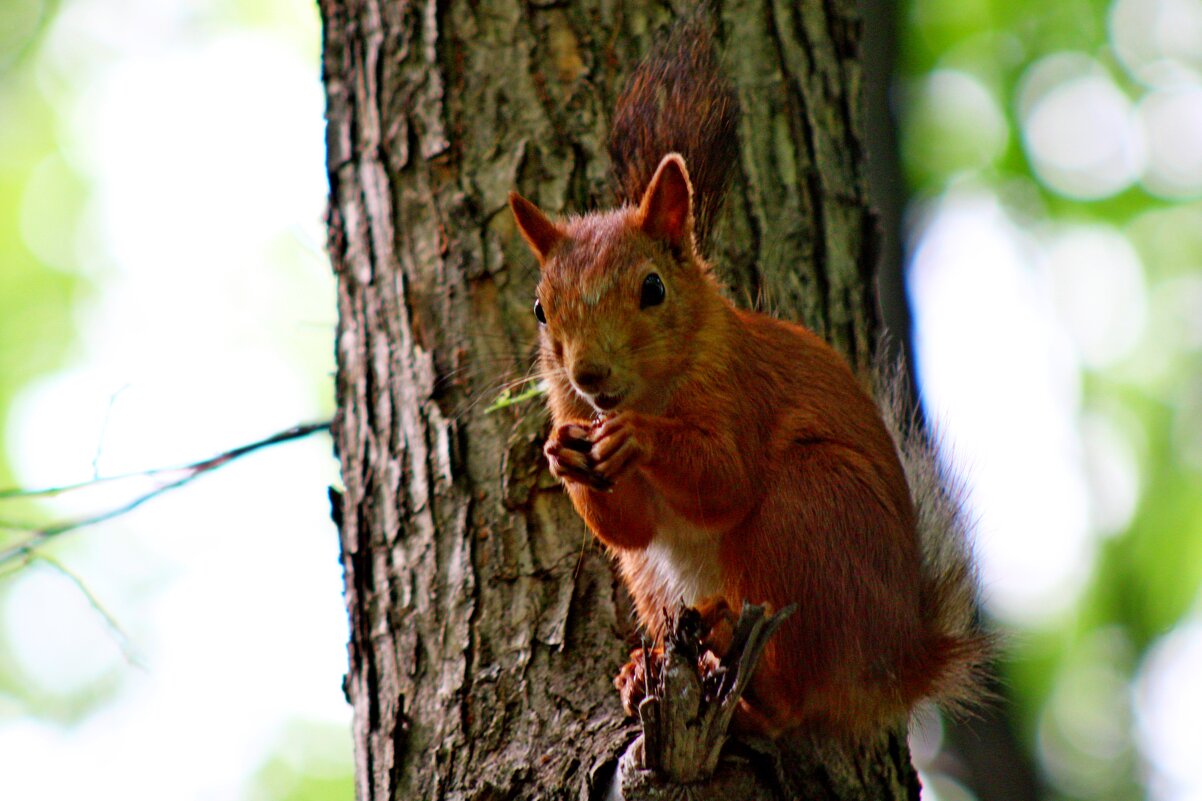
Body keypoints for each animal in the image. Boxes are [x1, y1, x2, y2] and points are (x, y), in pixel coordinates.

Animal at [507, 18, 985, 736]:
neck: (655, 388)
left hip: (808, 512)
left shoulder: (741, 391)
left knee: (790, 700)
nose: (589, 375)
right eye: (541, 308)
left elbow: (724, 478)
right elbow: (628, 527)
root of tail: (896, 662)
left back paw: (749, 679)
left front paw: (639, 436)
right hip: (655, 580)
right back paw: (642, 671)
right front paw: (562, 452)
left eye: (653, 288)